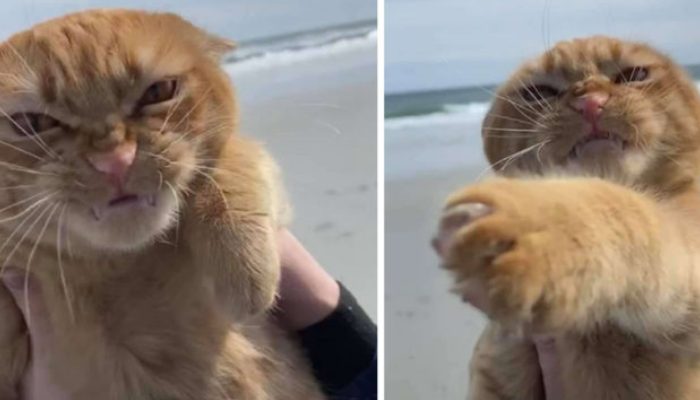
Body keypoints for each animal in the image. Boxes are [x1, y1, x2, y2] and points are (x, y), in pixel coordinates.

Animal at [0, 9, 324, 400]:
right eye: (34, 122)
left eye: (158, 92)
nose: (115, 160)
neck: (120, 270)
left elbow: (232, 159)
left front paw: (244, 266)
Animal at [438, 36, 700, 398]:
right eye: (540, 92)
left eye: (634, 75)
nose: (590, 100)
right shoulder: (494, 370)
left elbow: (625, 209)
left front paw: (538, 225)